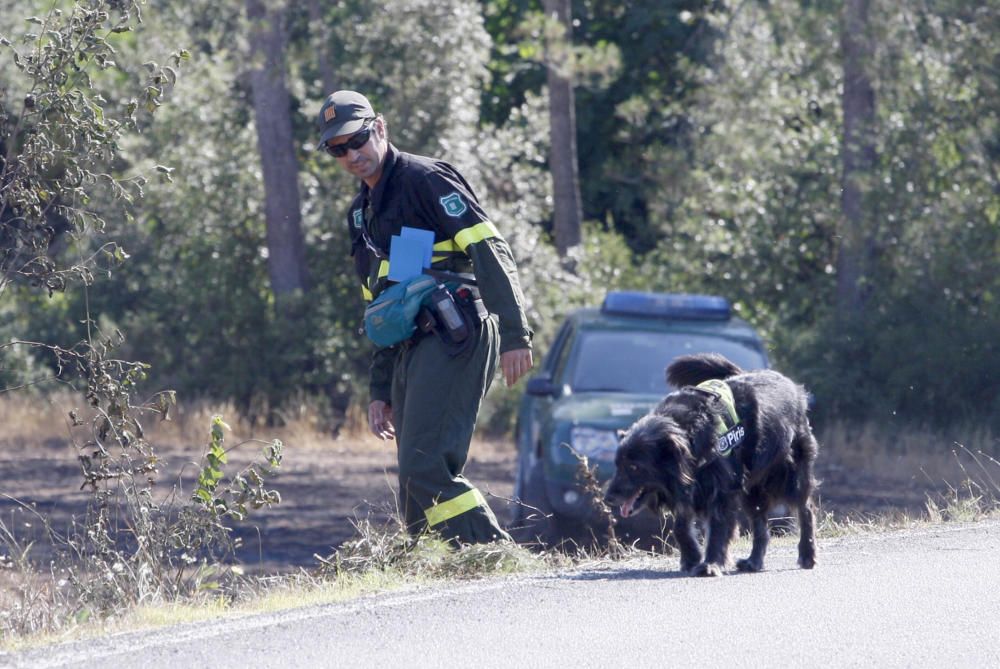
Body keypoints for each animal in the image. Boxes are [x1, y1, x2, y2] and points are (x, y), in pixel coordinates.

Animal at [604, 352, 816, 576]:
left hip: (789, 474)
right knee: (760, 523)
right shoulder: (688, 491)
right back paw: (753, 561)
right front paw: (691, 558)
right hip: (753, 489)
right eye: (617, 465)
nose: (608, 499)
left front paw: (711, 564)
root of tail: (792, 386)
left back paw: (807, 554)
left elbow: (718, 527)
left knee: (805, 509)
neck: (689, 435)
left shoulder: (720, 491)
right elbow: (680, 527)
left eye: (634, 467)